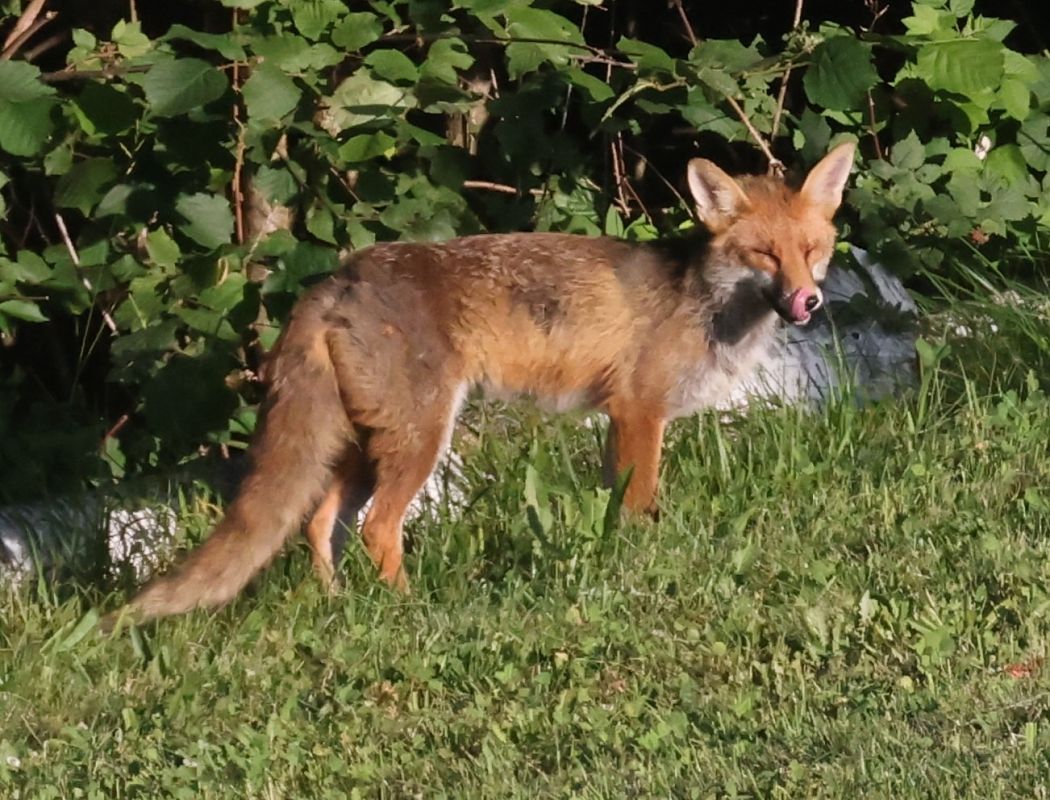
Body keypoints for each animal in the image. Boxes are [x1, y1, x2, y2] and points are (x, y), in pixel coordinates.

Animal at [103, 142, 856, 628]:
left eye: (812, 250)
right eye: (764, 254)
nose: (809, 300)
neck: (704, 302)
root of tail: (337, 277)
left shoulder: (617, 420)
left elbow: (613, 506)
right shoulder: (641, 410)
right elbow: (642, 505)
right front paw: (648, 563)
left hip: (362, 442)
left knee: (319, 523)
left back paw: (339, 607)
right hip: (419, 439)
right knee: (376, 528)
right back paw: (407, 611)